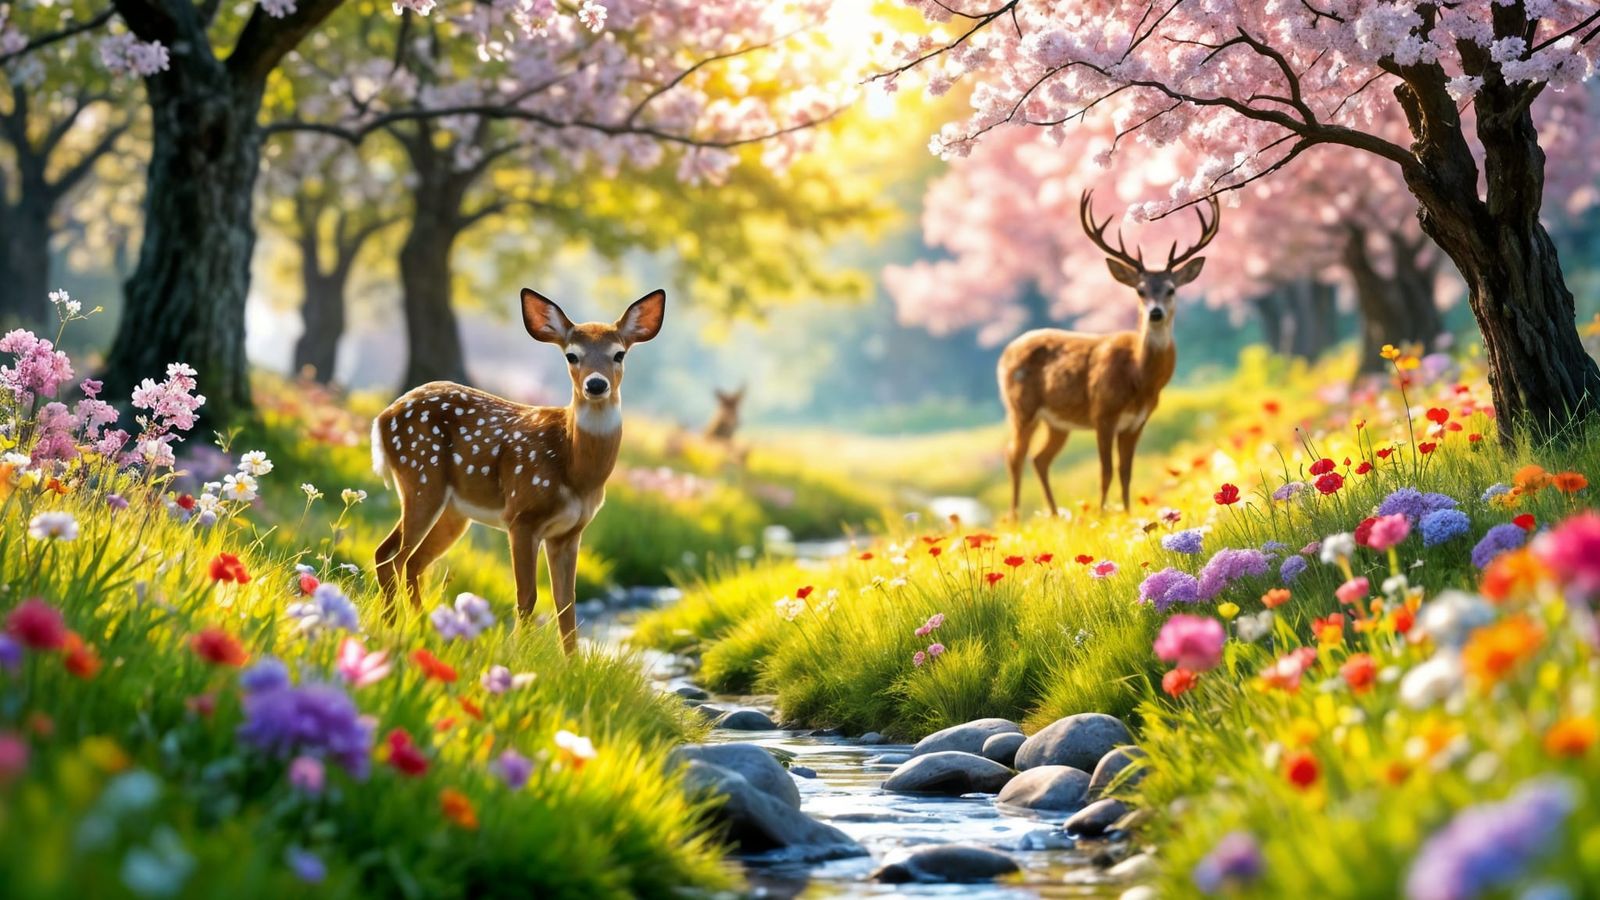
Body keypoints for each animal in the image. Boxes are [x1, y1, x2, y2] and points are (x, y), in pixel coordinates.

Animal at [370, 287, 665, 654]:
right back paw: (393, 629)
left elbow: (567, 603)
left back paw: (423, 628)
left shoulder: (569, 532)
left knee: (412, 562)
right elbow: (527, 596)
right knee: (391, 556)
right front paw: (517, 654)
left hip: (454, 511)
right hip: (421, 477)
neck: (575, 469)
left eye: (619, 354)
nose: (596, 385)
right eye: (572, 355)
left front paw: (573, 662)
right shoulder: (521, 515)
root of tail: (382, 417)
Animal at [998, 191, 1219, 520]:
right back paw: (1014, 519)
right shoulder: (1102, 412)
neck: (1139, 379)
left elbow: (1126, 471)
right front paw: (1102, 517)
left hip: (1057, 422)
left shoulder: (1137, 421)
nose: (1155, 313)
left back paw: (1055, 515)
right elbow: (1106, 471)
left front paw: (1127, 515)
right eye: (1140, 290)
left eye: (1171, 289)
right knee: (1015, 455)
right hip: (1021, 407)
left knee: (1040, 458)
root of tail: (1007, 351)